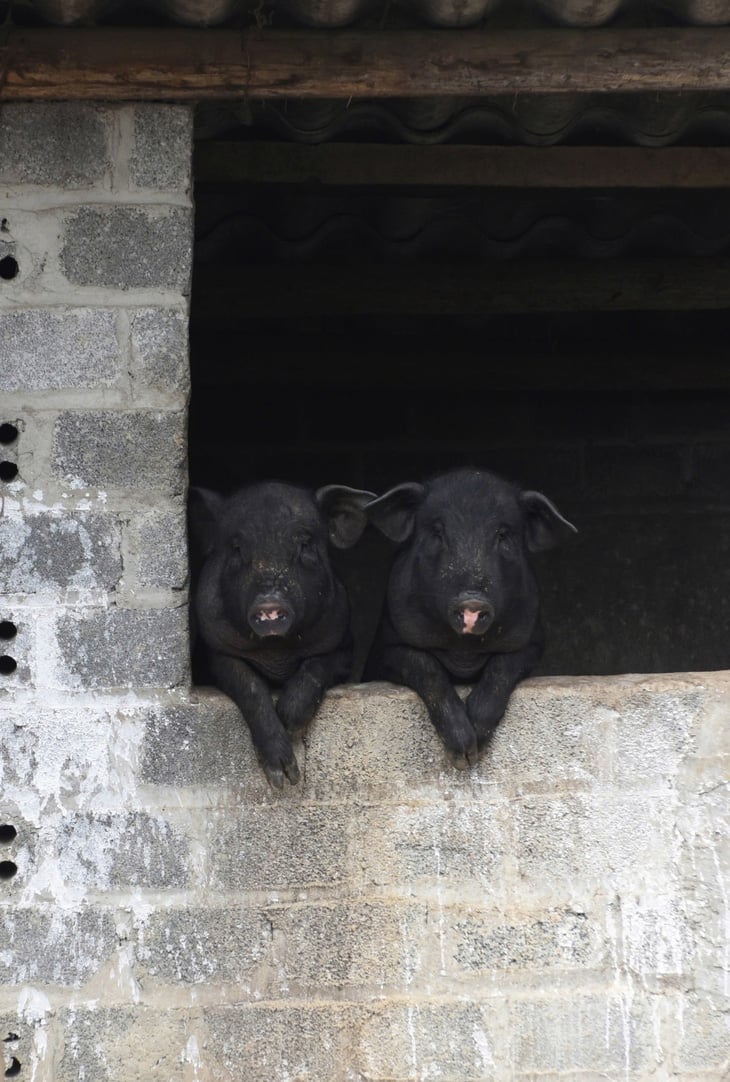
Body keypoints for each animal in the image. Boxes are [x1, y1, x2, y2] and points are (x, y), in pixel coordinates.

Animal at [190, 482, 372, 787]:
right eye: (237, 548)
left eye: (304, 544)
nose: (269, 603)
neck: (277, 652)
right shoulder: (216, 650)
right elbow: (248, 686)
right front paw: (283, 778)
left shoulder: (344, 644)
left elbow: (317, 666)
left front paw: (290, 722)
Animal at [365, 469, 575, 766]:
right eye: (438, 533)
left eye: (502, 535)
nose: (472, 602)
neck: (463, 652)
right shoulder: (387, 645)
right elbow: (425, 666)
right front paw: (464, 753)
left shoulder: (531, 641)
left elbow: (503, 666)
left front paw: (476, 737)